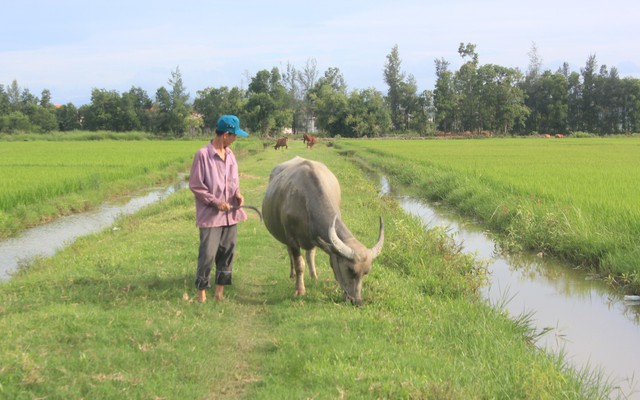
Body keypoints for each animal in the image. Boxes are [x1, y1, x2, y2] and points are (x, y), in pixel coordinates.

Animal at [262, 157, 384, 306]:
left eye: (366, 272)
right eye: (350, 269)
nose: (357, 301)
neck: (305, 200)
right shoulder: (292, 238)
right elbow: (299, 264)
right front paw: (300, 290)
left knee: (310, 254)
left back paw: (314, 276)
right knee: (290, 252)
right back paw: (292, 274)